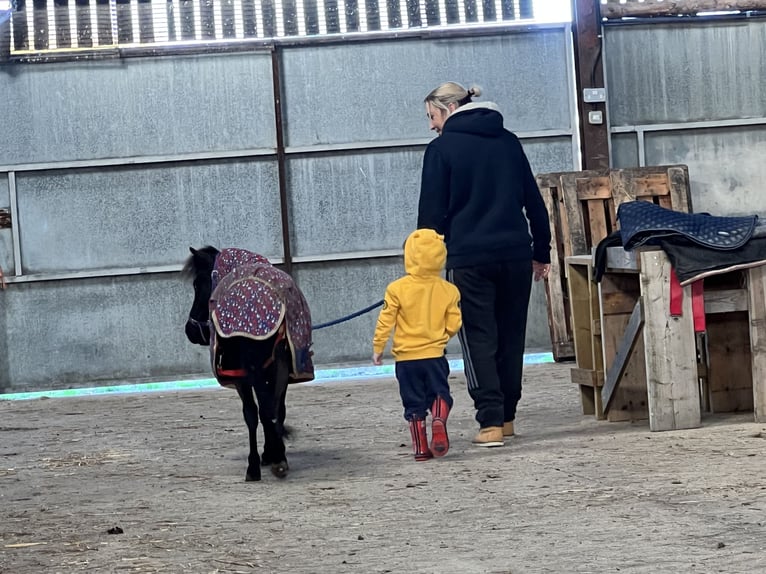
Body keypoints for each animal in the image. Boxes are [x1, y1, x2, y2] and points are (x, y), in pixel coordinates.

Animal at [183, 246, 316, 482]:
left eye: (197, 284)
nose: (190, 331)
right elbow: (271, 410)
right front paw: (272, 452)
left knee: (258, 412)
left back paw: (264, 462)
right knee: (265, 411)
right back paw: (271, 459)